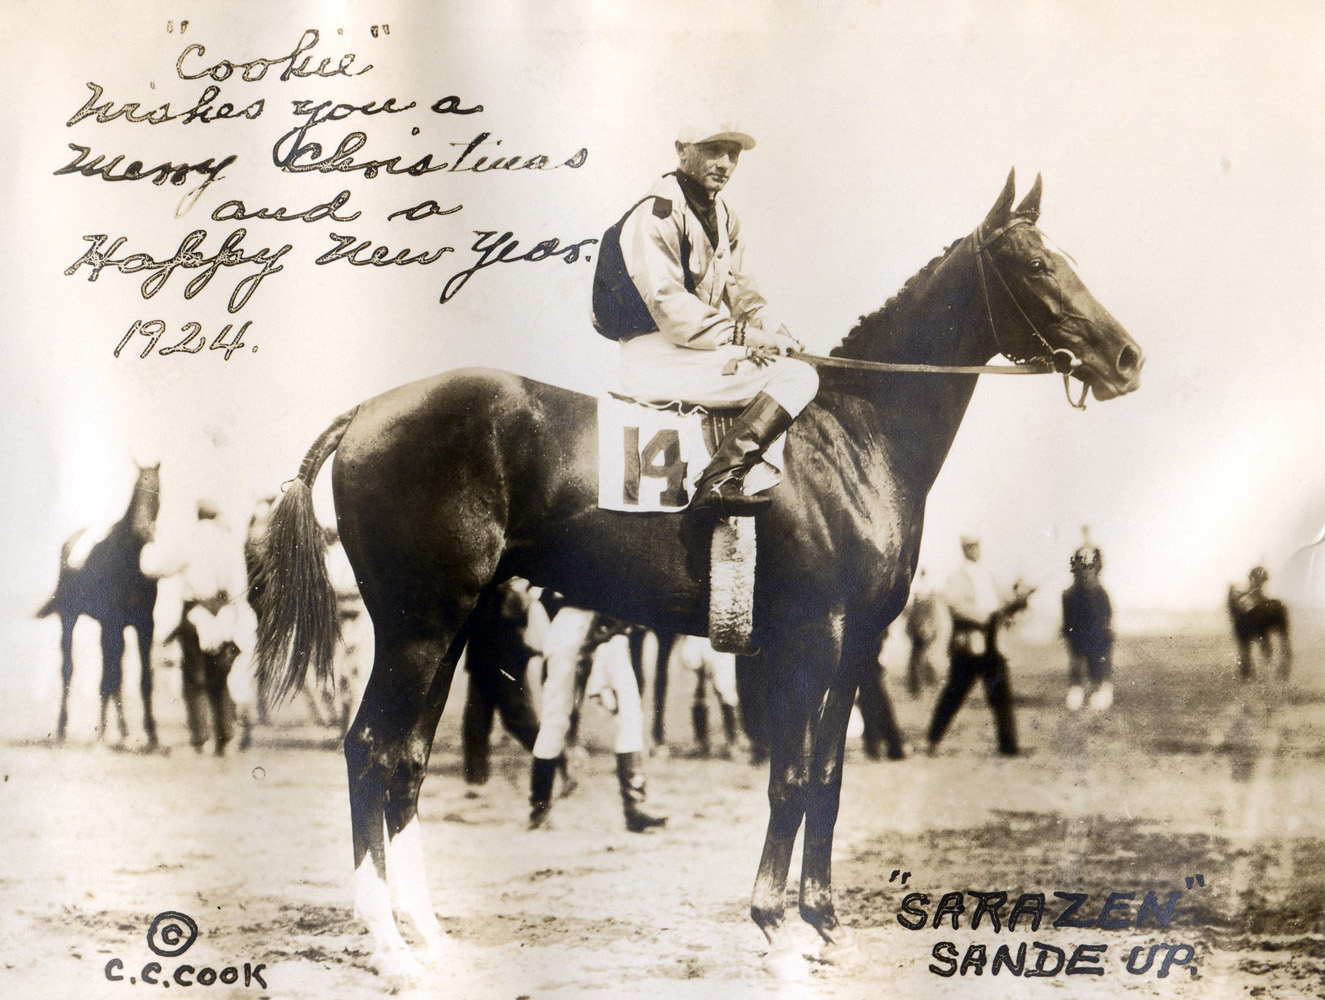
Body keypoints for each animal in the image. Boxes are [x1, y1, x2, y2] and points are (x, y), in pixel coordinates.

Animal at [38, 466, 161, 747]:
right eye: (137, 491)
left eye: (157, 492)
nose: (143, 530)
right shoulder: (113, 624)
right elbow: (109, 677)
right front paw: (103, 733)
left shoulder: (144, 625)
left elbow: (143, 678)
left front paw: (151, 735)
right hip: (70, 618)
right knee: (69, 668)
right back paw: (62, 729)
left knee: (115, 669)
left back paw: (123, 730)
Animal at [253, 172, 1144, 980]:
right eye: (1036, 265)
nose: (1127, 358)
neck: (853, 437)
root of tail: (368, 411)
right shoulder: (809, 637)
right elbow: (790, 777)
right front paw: (777, 929)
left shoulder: (859, 641)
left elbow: (828, 777)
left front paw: (824, 925)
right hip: (417, 626)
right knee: (369, 749)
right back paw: (388, 947)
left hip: (448, 626)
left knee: (404, 759)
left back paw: (429, 936)